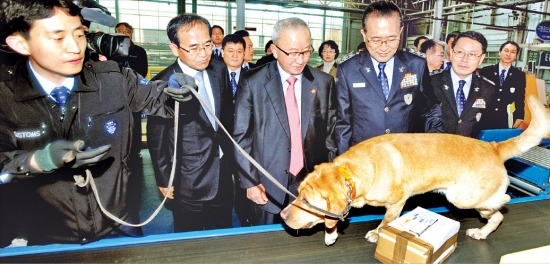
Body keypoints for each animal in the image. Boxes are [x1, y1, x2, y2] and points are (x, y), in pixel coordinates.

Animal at [282, 97, 548, 248]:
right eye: (298, 194)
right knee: (496, 217)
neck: (352, 172)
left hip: (462, 198)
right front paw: (331, 232)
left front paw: (377, 233)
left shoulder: (397, 202)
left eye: (306, 200)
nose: (283, 216)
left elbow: (386, 222)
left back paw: (502, 202)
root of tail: (493, 147)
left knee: (501, 207)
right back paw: (482, 233)